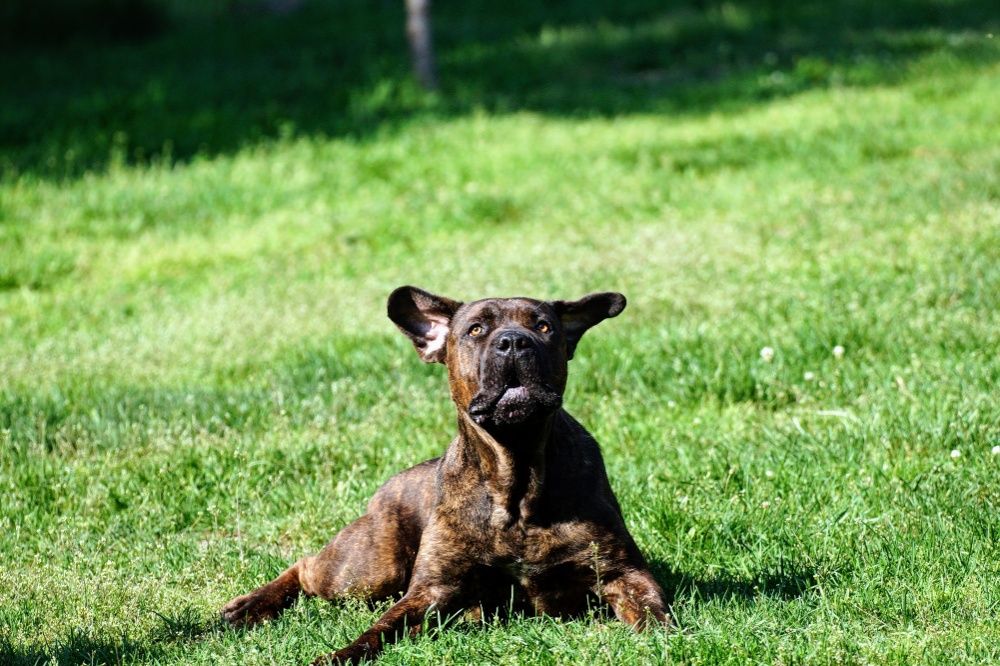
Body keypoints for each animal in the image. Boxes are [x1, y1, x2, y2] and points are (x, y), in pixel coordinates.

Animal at [223, 284, 668, 660]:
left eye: (543, 327)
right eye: (476, 330)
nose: (513, 341)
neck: (516, 478)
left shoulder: (623, 572)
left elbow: (655, 614)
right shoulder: (431, 589)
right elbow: (379, 628)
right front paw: (342, 655)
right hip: (368, 570)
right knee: (305, 567)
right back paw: (247, 607)